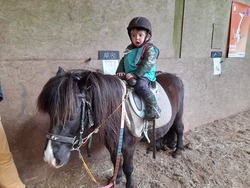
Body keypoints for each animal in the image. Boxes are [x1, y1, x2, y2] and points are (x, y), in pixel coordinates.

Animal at [37, 67, 186, 188]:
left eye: (71, 114)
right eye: (50, 113)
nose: (50, 157)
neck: (119, 114)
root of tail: (175, 77)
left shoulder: (129, 146)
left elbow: (128, 167)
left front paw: (130, 184)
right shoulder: (112, 143)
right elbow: (115, 161)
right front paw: (116, 179)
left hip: (178, 115)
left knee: (179, 129)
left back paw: (178, 151)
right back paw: (156, 146)